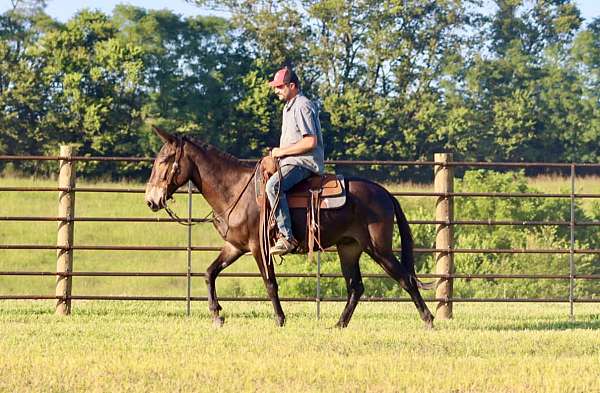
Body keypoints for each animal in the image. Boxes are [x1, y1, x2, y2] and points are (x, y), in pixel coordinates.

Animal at [145, 126, 436, 328]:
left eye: (164, 160)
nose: (151, 200)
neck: (236, 190)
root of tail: (384, 193)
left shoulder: (259, 248)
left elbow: (270, 283)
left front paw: (280, 319)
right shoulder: (235, 246)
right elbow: (209, 273)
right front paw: (217, 316)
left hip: (379, 249)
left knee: (405, 278)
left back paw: (429, 319)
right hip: (349, 248)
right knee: (356, 287)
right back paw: (339, 324)